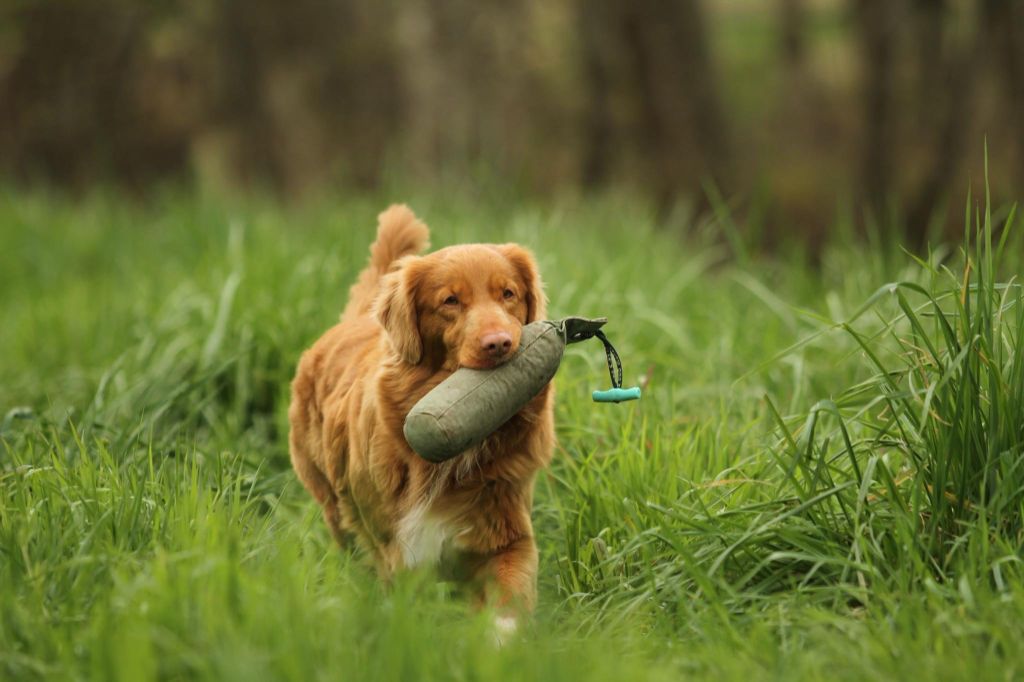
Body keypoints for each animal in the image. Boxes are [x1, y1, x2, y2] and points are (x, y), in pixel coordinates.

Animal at [288, 204, 557, 634]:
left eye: (508, 294)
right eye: (450, 301)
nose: (499, 344)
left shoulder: (507, 533)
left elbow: (508, 602)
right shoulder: (395, 551)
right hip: (336, 509)